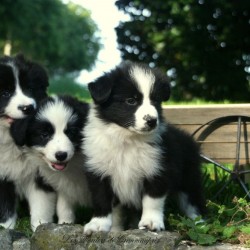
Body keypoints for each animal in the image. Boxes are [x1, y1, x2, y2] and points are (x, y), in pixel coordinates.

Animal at [82, 61, 205, 234]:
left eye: (155, 101)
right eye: (131, 101)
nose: (152, 121)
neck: (127, 139)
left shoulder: (158, 169)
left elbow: (152, 200)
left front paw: (151, 222)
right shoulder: (98, 171)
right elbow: (101, 200)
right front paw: (98, 225)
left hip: (189, 178)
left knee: (193, 202)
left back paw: (200, 225)